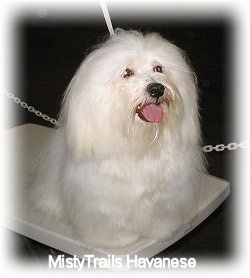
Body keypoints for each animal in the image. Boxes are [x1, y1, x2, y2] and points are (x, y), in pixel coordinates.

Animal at [29, 29, 205, 249]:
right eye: (127, 73)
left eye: (159, 68)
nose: (157, 88)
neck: (141, 144)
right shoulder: (103, 202)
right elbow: (112, 225)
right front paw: (119, 241)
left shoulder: (168, 197)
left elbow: (161, 218)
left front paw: (162, 231)